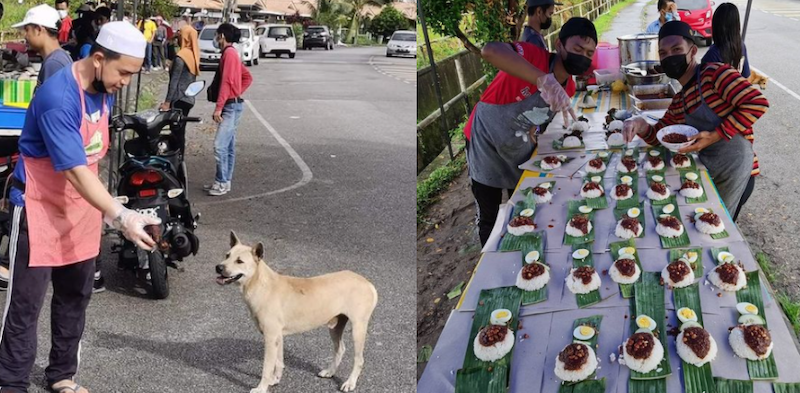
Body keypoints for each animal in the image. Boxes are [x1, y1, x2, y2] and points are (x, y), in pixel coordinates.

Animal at [216, 231, 378, 390]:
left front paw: (261, 388)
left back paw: (350, 383)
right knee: (340, 349)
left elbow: (267, 367)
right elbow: (278, 362)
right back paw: (330, 371)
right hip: (335, 325)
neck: (260, 283)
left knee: (359, 359)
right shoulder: (277, 336)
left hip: (358, 328)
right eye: (227, 255)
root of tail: (367, 283)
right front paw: (275, 380)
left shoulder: (270, 337)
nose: (218, 267)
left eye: (239, 261)